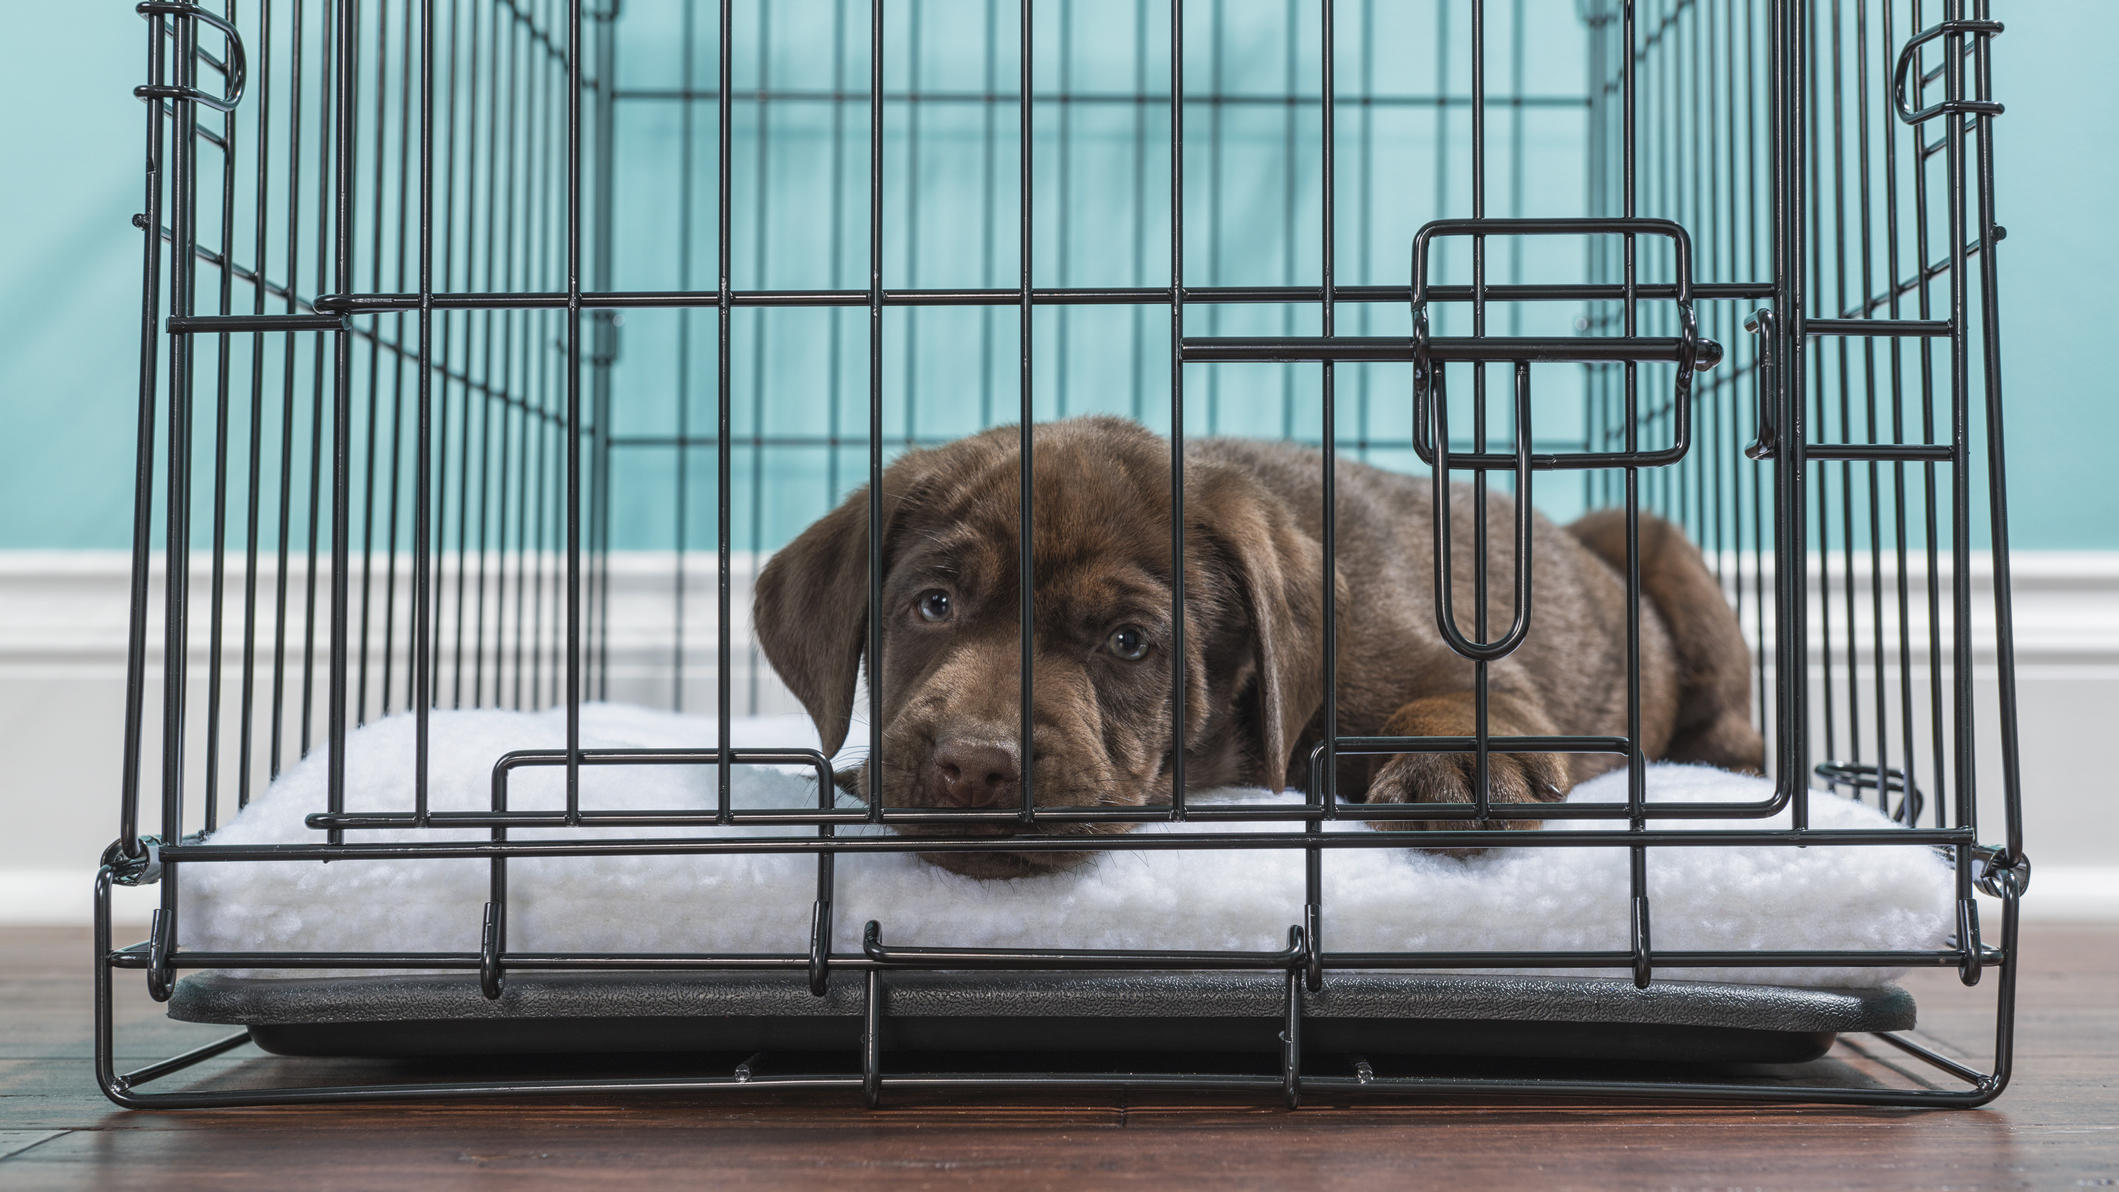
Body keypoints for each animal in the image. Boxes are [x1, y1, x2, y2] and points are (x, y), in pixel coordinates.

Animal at [754, 419, 1763, 876]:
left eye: (1128, 642)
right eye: (932, 605)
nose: (974, 766)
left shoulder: (1437, 660)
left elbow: (1462, 698)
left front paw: (1459, 765)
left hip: (1651, 539)